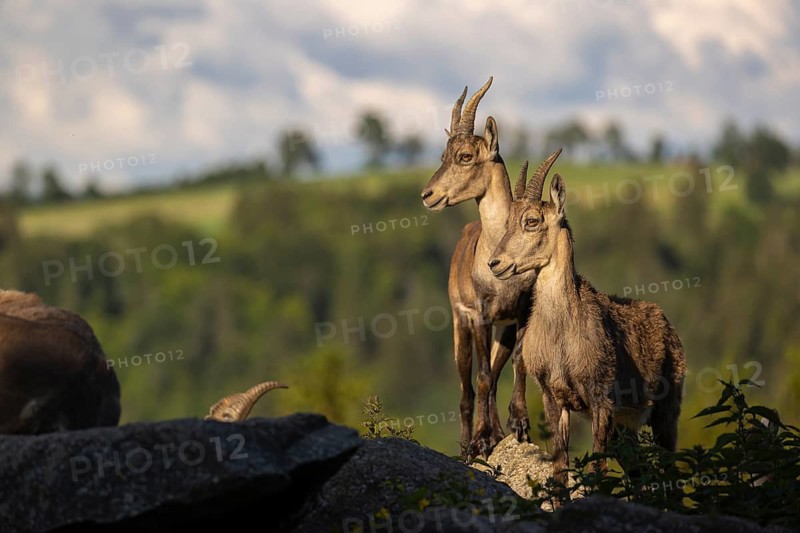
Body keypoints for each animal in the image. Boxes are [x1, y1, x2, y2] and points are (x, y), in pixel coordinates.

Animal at [421, 77, 562, 458]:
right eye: (443, 155)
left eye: (465, 156)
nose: (427, 194)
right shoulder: (481, 314)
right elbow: (481, 378)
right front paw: (481, 441)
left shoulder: (519, 313)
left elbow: (516, 364)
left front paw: (519, 425)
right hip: (460, 323)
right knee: (467, 390)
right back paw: (469, 444)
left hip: (501, 329)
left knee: (494, 376)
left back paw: (497, 431)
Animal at [488, 161, 686, 489]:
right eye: (507, 223)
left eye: (531, 221)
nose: (495, 263)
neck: (561, 332)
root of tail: (668, 324)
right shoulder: (554, 398)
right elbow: (560, 467)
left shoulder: (600, 398)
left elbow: (598, 471)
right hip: (625, 427)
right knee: (639, 470)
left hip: (666, 408)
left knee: (669, 467)